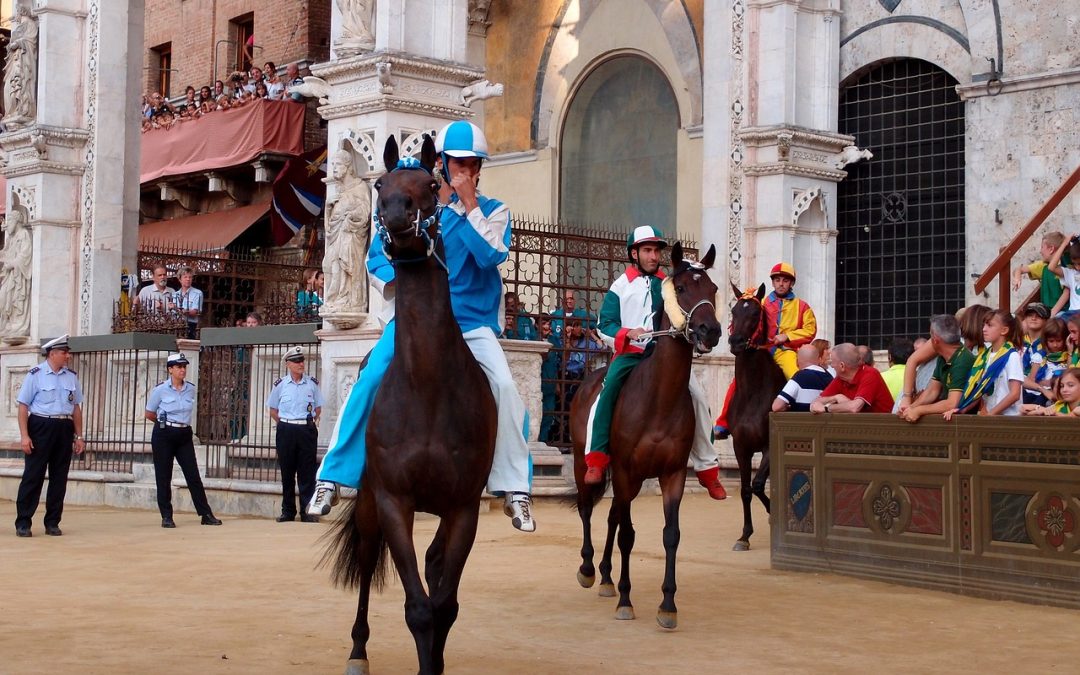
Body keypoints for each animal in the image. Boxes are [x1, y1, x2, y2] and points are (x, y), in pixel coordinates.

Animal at [324, 134, 496, 669]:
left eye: (433, 185)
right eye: (380, 184)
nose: (396, 215)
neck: (427, 388)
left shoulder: (463, 507)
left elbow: (444, 605)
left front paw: (434, 661)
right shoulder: (393, 501)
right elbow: (419, 608)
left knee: (436, 563)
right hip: (367, 505)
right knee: (364, 558)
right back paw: (357, 650)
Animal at [570, 243, 721, 630]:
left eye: (713, 289)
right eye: (681, 288)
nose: (710, 330)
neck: (658, 400)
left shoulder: (672, 474)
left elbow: (671, 536)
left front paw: (668, 605)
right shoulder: (625, 471)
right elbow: (627, 535)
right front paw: (626, 599)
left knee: (611, 516)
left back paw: (607, 577)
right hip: (585, 462)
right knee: (587, 509)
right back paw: (589, 569)